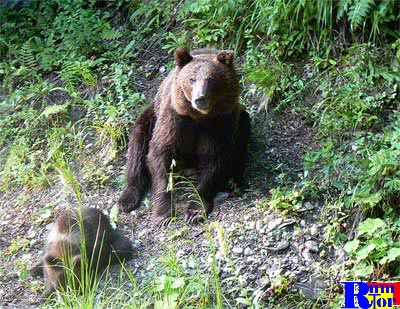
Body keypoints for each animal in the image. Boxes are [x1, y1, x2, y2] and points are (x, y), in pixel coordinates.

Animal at [118, 48, 250, 224]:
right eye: (191, 79)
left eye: (211, 79)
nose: (199, 98)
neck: (200, 117)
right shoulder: (175, 120)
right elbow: (160, 154)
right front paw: (163, 212)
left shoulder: (220, 123)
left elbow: (214, 160)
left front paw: (195, 210)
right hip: (150, 118)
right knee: (137, 147)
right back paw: (126, 199)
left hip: (241, 122)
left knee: (241, 143)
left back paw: (235, 181)